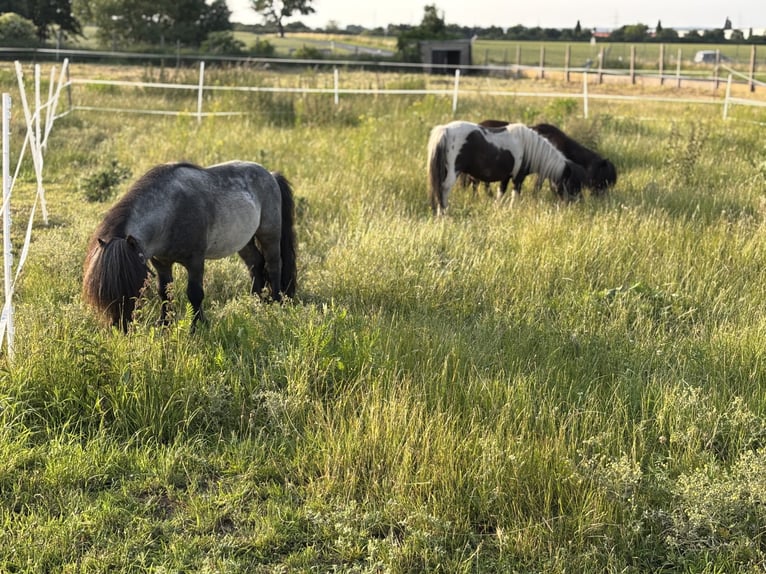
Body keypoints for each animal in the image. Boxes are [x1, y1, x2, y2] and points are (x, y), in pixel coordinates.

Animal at [82, 160, 297, 332]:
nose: (120, 327)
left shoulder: (195, 261)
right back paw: (255, 302)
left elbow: (194, 294)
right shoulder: (161, 263)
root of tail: (270, 174)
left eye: (133, 286)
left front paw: (196, 327)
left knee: (273, 265)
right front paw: (164, 325)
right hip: (244, 240)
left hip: (269, 234)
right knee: (255, 264)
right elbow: (164, 292)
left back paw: (277, 302)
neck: (170, 214)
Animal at [427, 120, 585, 215]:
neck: (528, 147)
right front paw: (512, 211)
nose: (577, 207)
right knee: (443, 190)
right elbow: (515, 195)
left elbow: (500, 193)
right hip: (452, 173)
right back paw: (444, 214)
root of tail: (445, 130)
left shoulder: (506, 177)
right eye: (572, 185)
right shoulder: (518, 178)